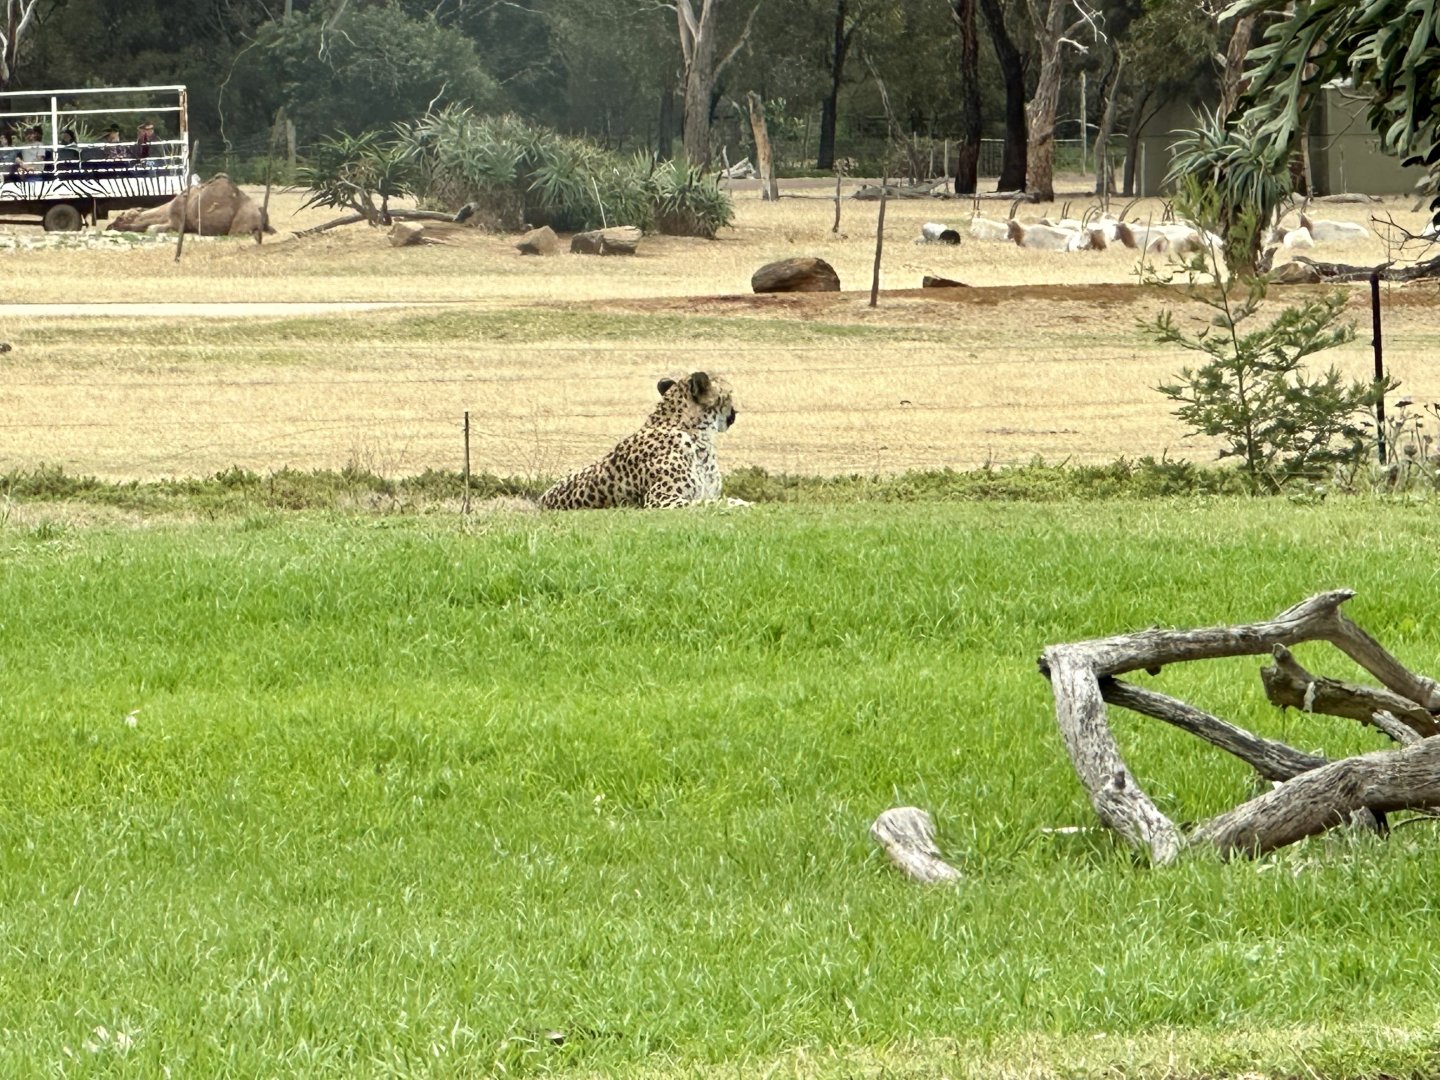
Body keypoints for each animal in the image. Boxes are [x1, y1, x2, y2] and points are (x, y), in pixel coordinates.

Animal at [538, 371, 738, 510]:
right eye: (730, 393)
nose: (735, 412)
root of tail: (540, 501)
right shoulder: (661, 499)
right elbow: (711, 504)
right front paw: (739, 504)